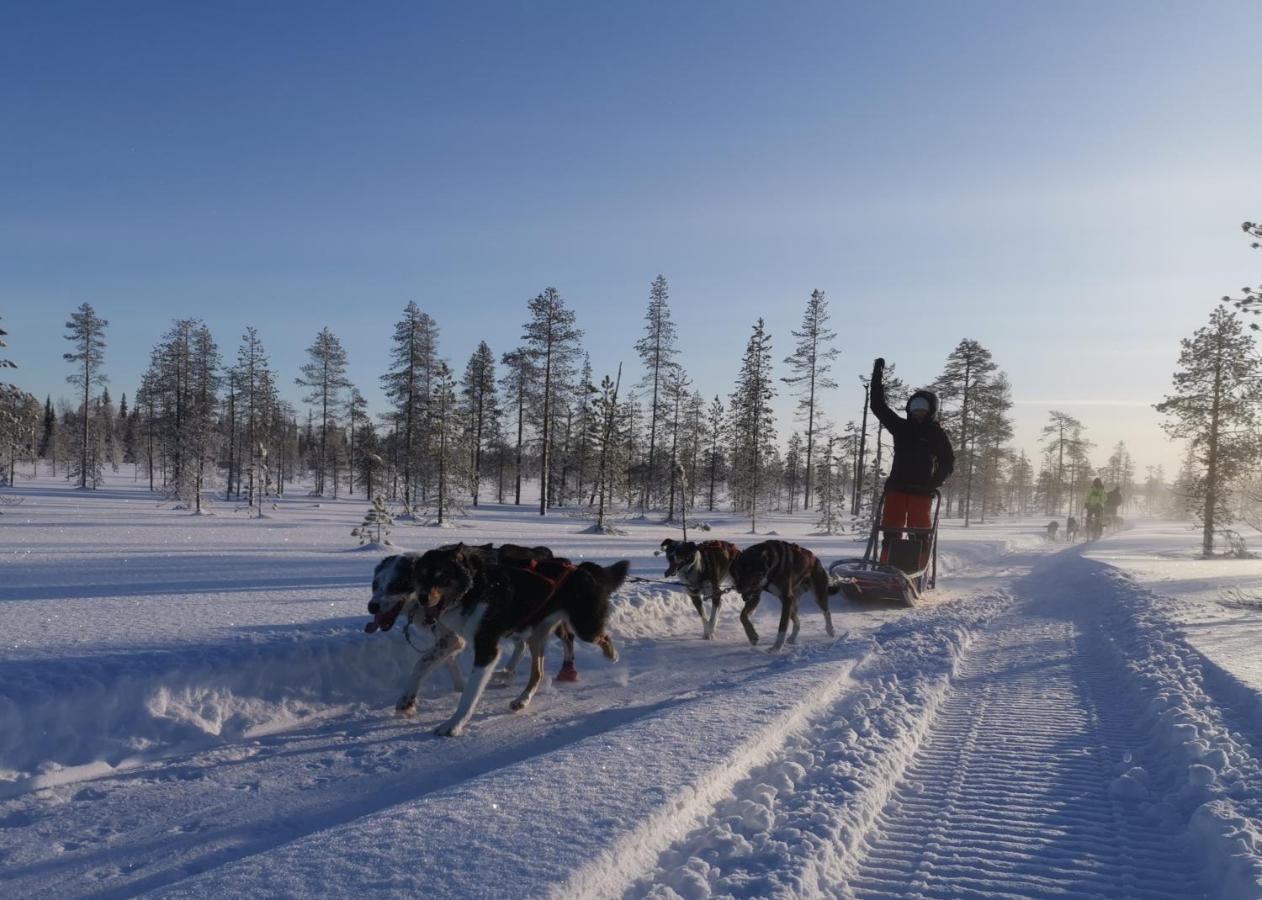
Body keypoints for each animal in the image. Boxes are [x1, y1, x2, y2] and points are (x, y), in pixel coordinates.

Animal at [365, 545, 625, 732]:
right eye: (375, 585)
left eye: (397, 584)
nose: (371, 606)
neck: (471, 591)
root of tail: (578, 568)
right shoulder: (451, 638)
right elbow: (439, 664)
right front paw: (413, 699)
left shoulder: (476, 643)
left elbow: (443, 675)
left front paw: (452, 722)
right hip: (532, 631)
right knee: (536, 669)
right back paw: (518, 692)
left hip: (583, 628)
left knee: (593, 637)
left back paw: (607, 657)